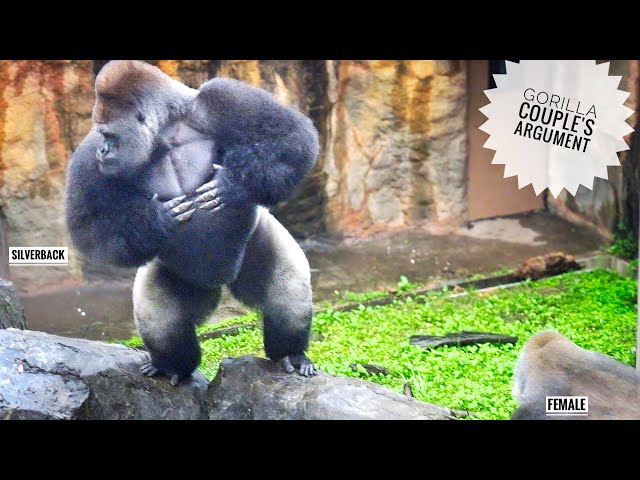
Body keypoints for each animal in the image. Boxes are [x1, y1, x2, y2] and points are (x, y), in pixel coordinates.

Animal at [66, 60, 319, 385]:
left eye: (110, 136)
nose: (103, 151)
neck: (166, 132)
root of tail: (221, 286)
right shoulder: (88, 156)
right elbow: (89, 228)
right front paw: (155, 222)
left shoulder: (220, 98)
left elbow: (291, 137)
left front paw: (235, 184)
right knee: (161, 321)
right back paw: (171, 365)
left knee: (286, 288)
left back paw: (290, 352)